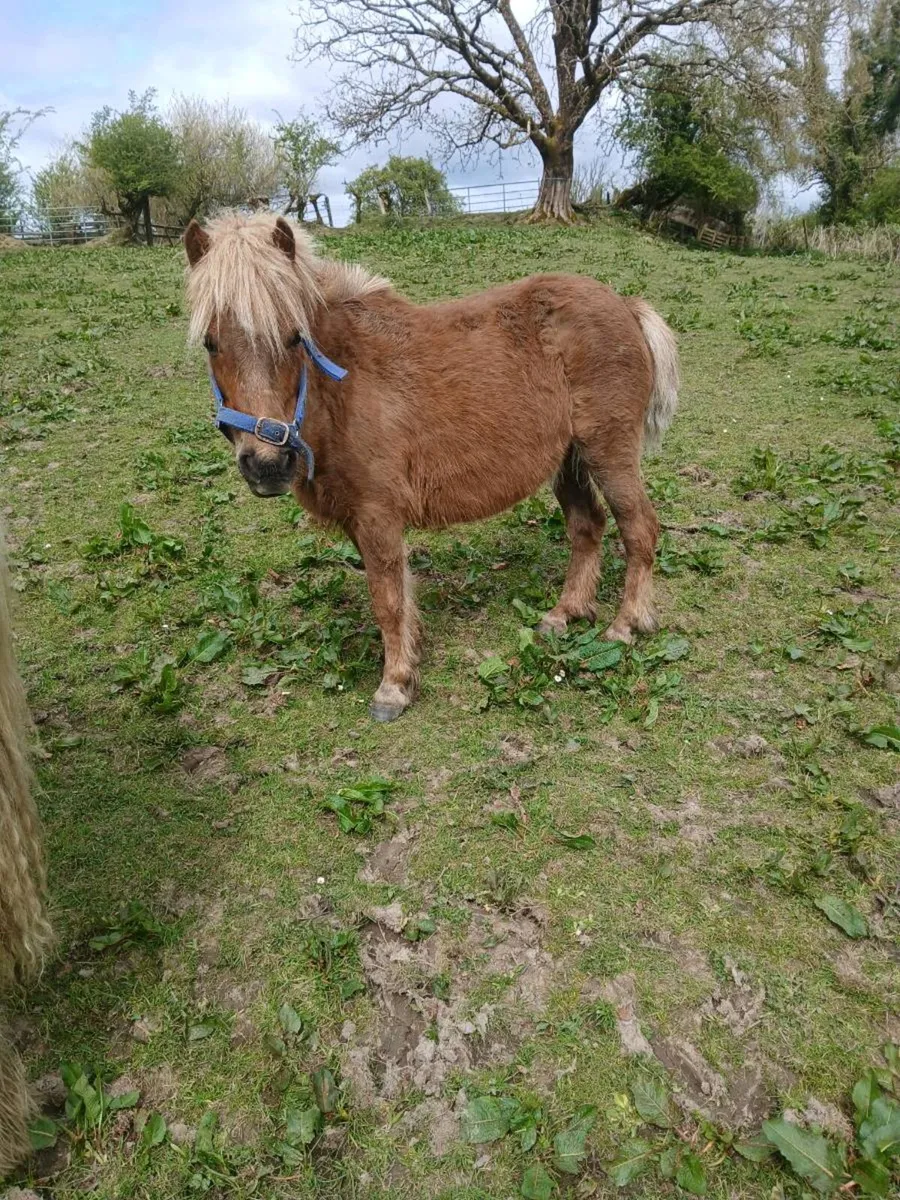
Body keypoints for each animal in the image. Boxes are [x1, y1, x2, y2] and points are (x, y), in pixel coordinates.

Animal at [183, 212, 679, 722]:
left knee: (639, 527)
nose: (267, 464)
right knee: (587, 525)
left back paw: (626, 625)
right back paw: (566, 614)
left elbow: (387, 599)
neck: (344, 387)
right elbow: (395, 591)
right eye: (211, 343)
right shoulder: (358, 521)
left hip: (609, 454)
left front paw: (395, 685)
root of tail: (624, 304)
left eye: (294, 337)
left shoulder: (378, 514)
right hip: (569, 462)